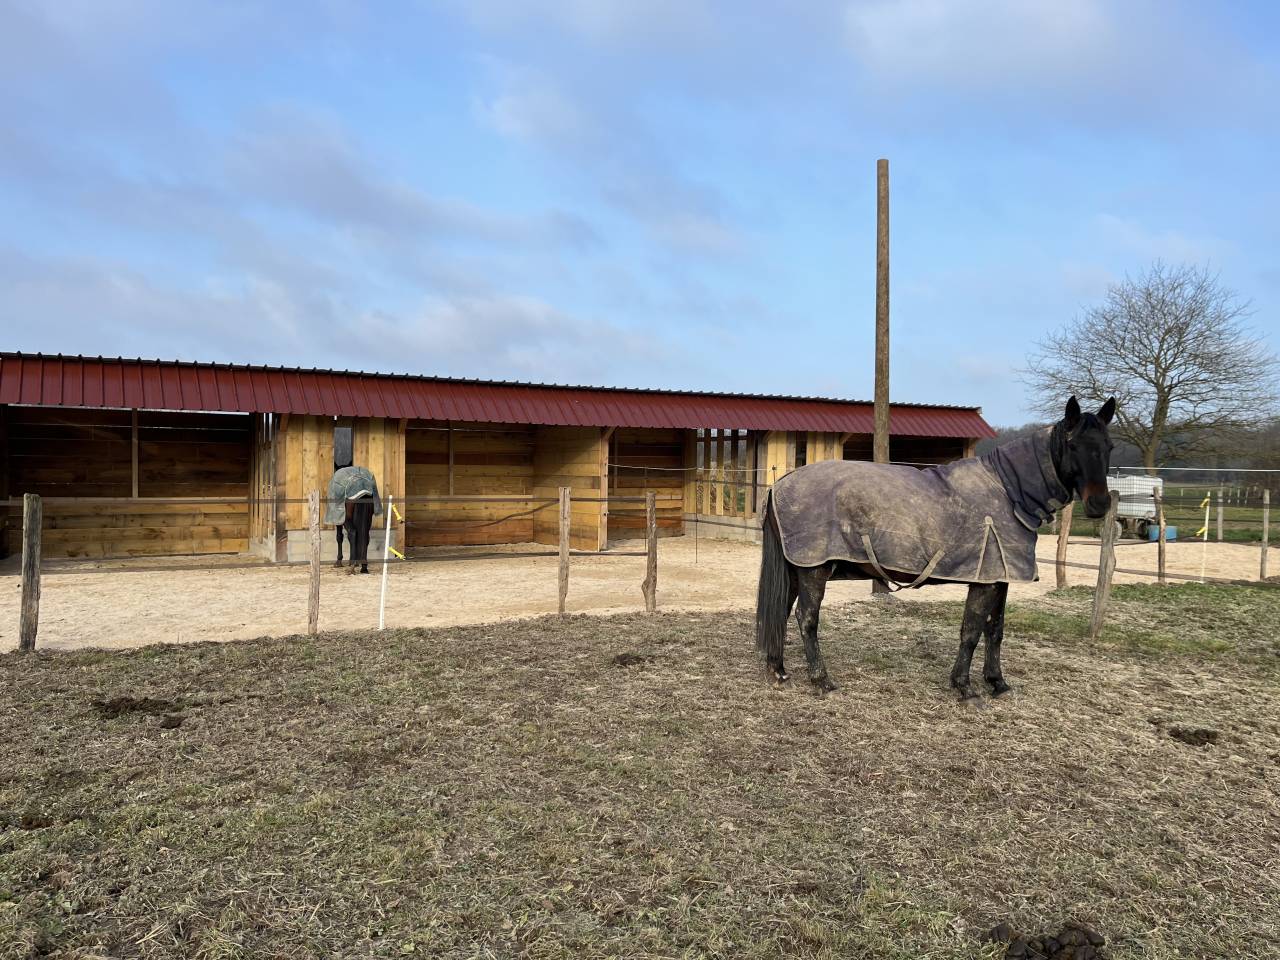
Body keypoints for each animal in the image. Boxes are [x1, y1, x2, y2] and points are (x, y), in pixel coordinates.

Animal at [755, 396, 1116, 702]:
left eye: (1109, 446)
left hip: (795, 570)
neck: (1009, 493)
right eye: (1073, 445)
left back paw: (778, 671)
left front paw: (997, 683)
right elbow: (971, 631)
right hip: (813, 568)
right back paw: (822, 680)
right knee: (806, 619)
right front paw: (965, 688)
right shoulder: (984, 581)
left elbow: (995, 630)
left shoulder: (1001, 578)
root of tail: (780, 485)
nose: (1100, 504)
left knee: (782, 611)